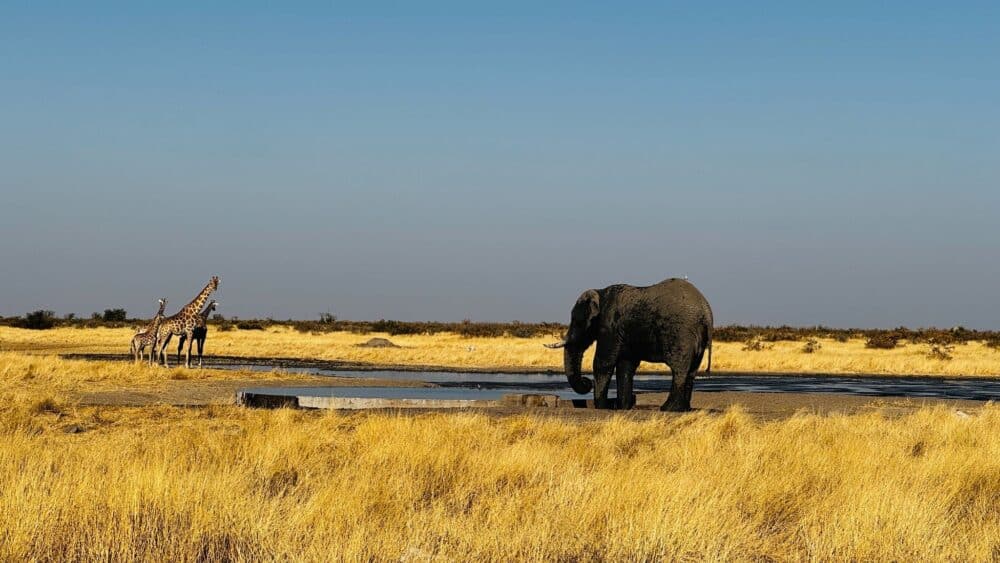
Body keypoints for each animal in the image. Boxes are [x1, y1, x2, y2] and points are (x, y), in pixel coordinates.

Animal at [546, 278, 713, 411]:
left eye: (577, 321)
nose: (587, 382)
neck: (600, 293)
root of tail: (706, 312)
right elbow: (625, 366)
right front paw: (623, 407)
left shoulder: (610, 325)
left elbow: (603, 362)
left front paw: (602, 407)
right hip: (696, 337)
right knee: (692, 371)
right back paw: (683, 409)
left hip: (681, 333)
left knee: (679, 369)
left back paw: (668, 408)